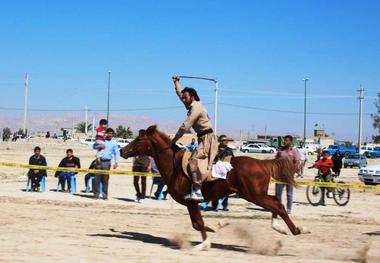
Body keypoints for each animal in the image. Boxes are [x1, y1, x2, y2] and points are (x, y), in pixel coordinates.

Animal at [121, 126, 308, 252]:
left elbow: (198, 224)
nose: (122, 150)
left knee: (278, 206)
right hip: (257, 194)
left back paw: (297, 229)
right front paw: (218, 226)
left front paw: (205, 242)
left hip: (254, 195)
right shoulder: (192, 204)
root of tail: (263, 163)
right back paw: (280, 227)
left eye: (139, 140)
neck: (174, 165)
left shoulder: (191, 202)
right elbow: (200, 224)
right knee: (276, 202)